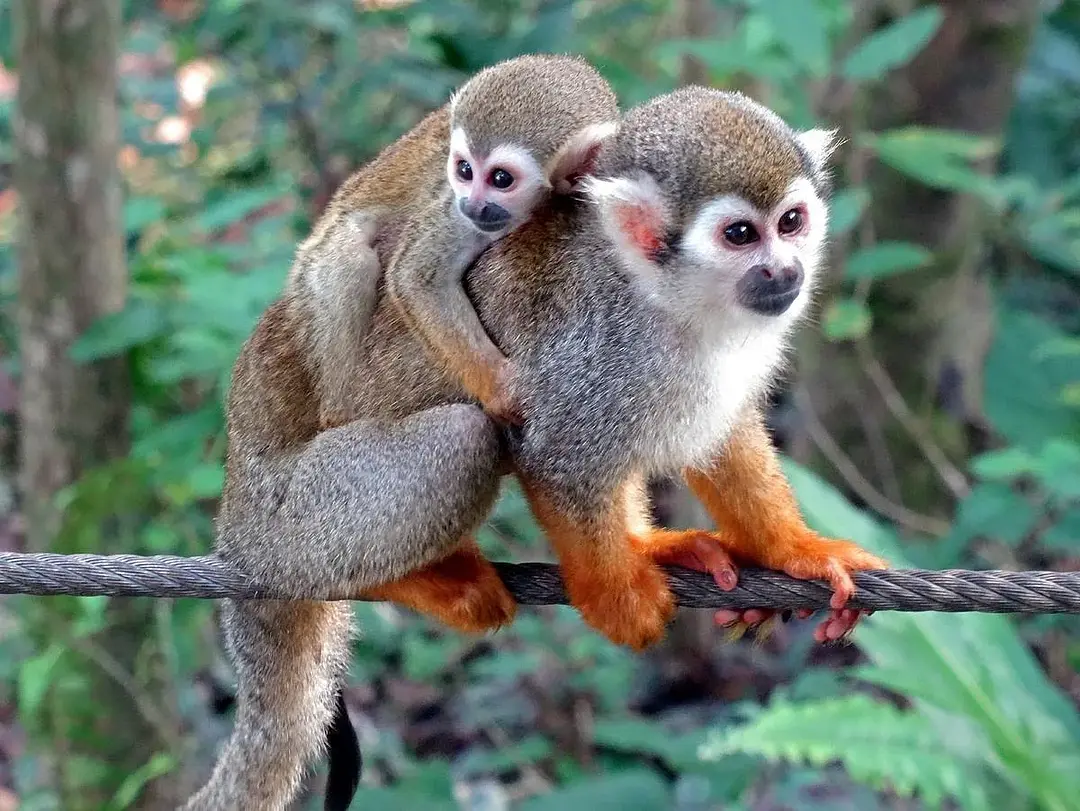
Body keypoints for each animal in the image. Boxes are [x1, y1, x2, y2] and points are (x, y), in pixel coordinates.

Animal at [183, 85, 887, 811]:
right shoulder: (596, 346)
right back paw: (398, 578)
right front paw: (615, 596)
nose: (785, 270)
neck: (664, 298)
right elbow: (556, 458)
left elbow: (722, 437)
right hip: (297, 517)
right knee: (462, 439)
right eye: (741, 234)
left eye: (792, 221)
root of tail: (238, 522)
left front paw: (792, 551)